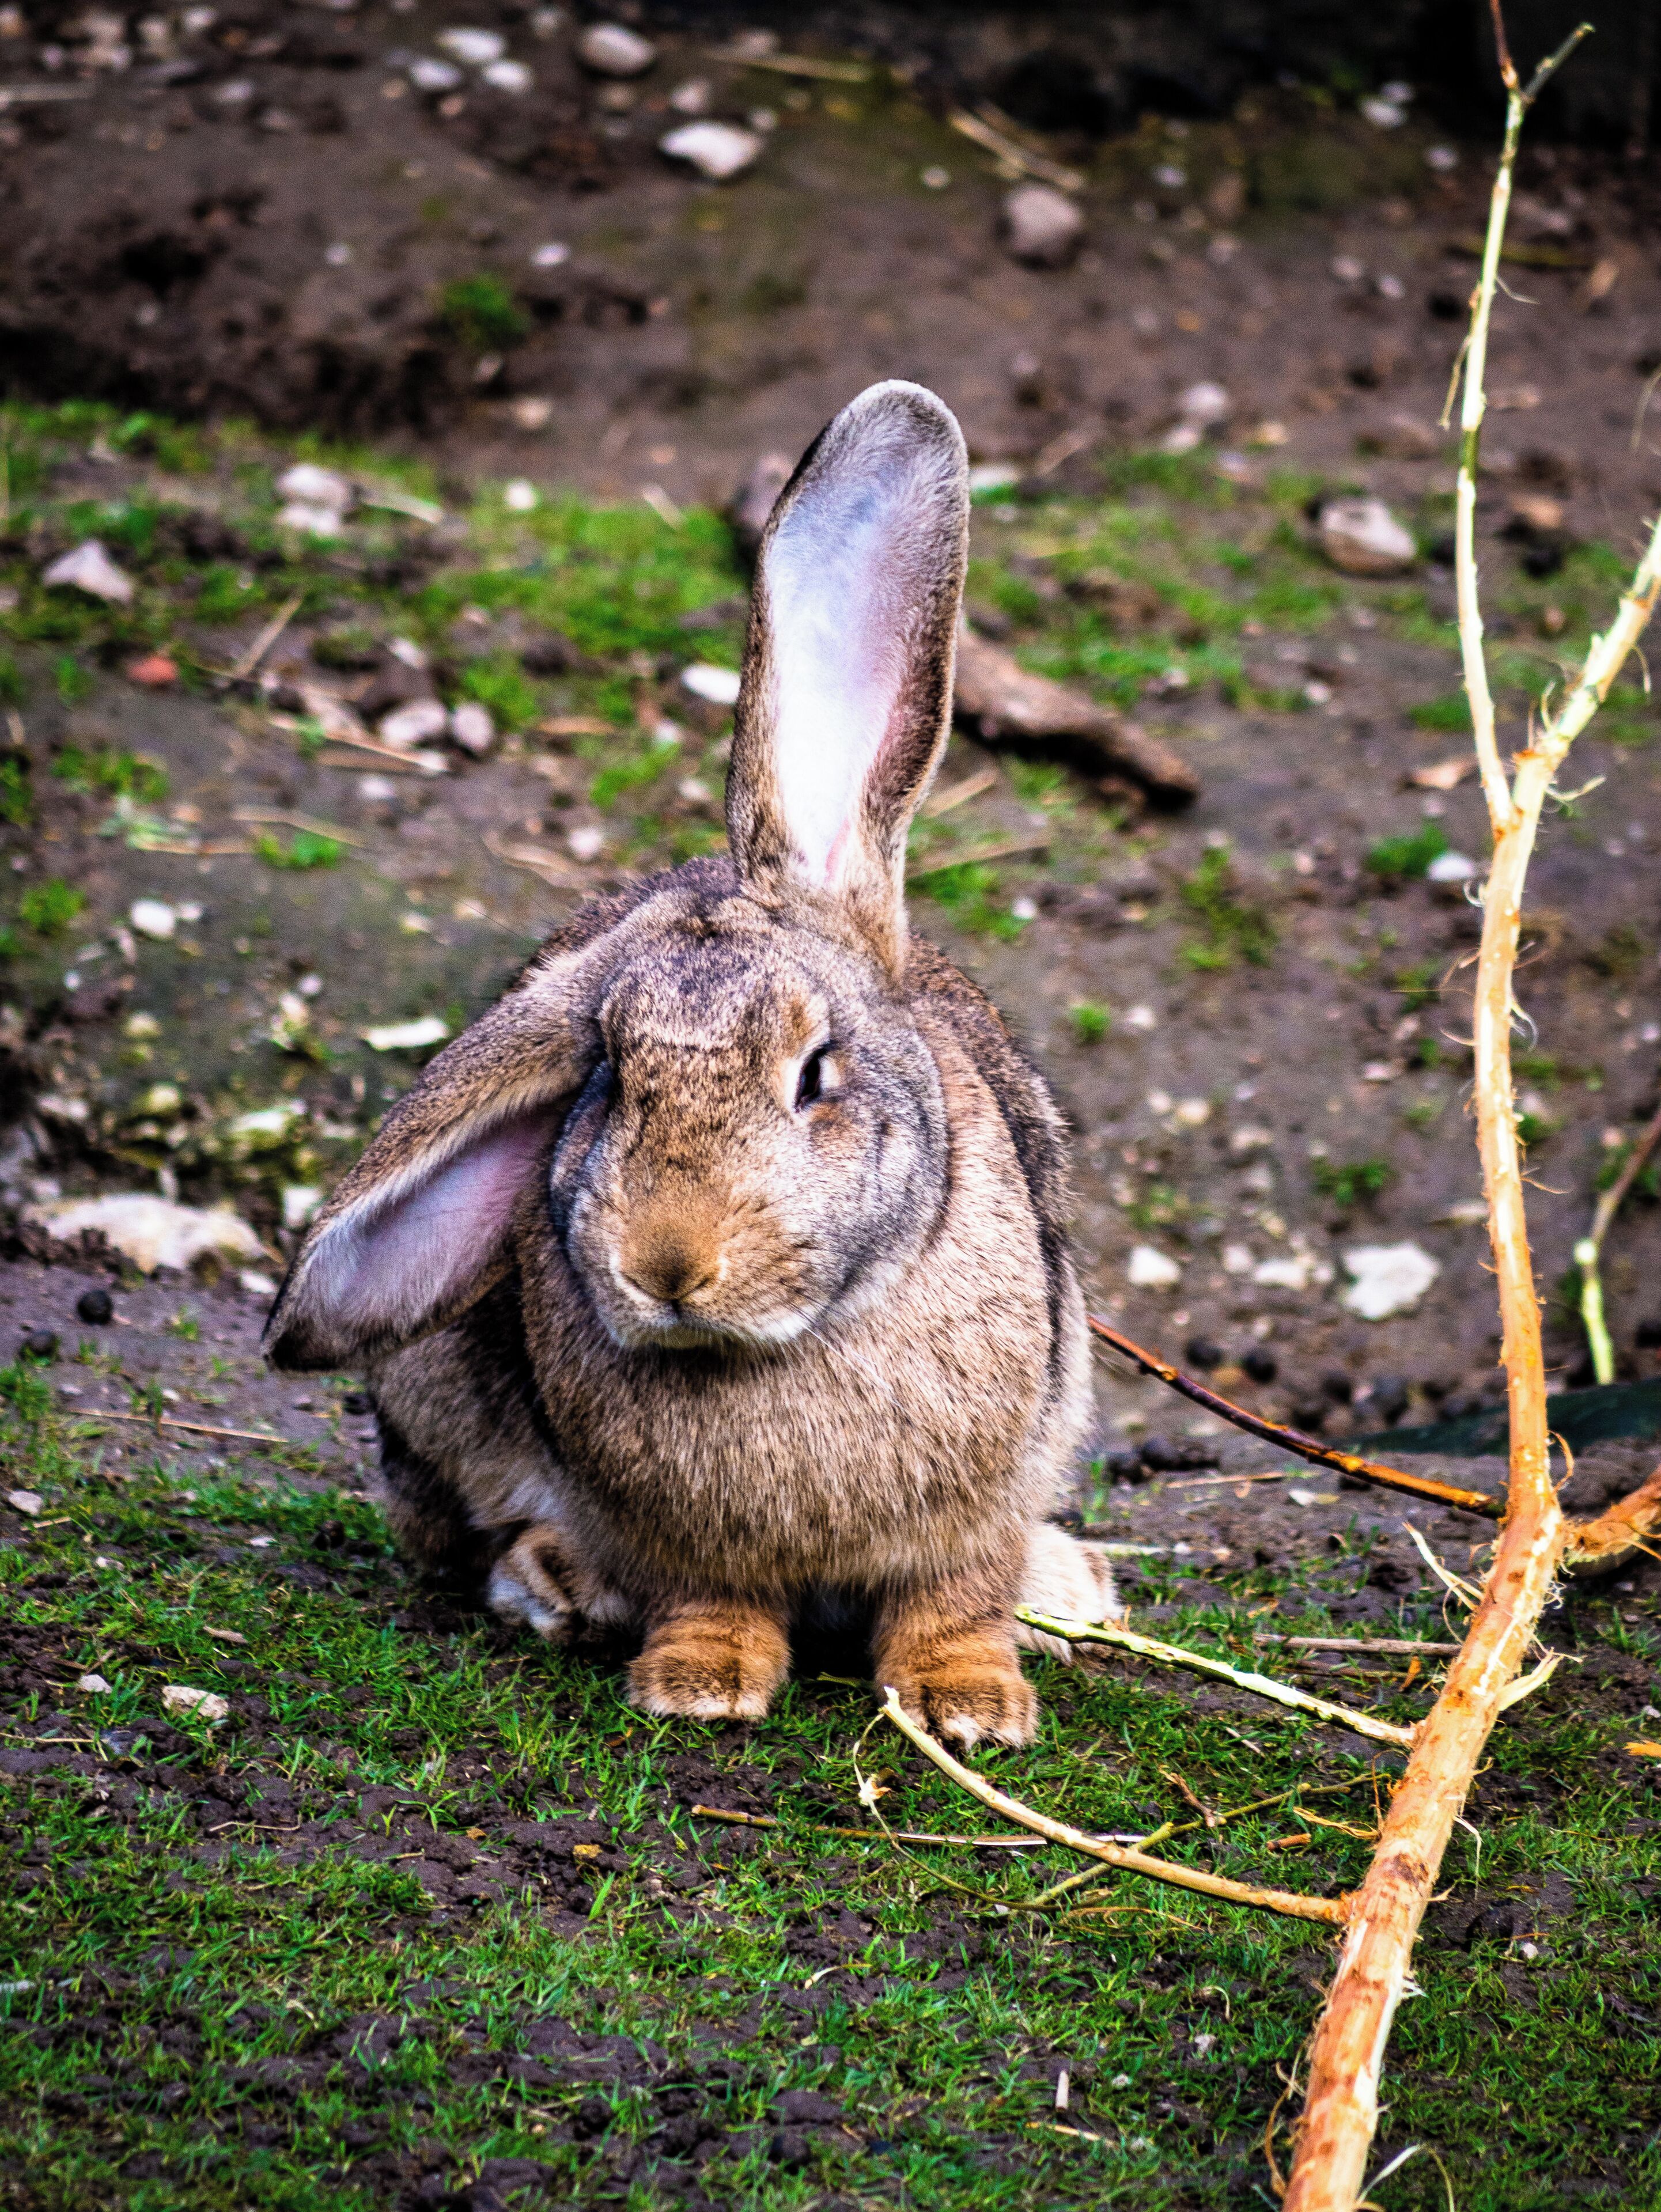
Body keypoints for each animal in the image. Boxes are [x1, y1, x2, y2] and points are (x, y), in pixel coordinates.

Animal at [263, 378, 1118, 1747]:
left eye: (815, 1072)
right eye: (608, 1076)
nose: (667, 1263)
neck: (786, 1342)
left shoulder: (993, 1483)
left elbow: (952, 1598)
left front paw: (970, 1707)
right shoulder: (684, 1538)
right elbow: (708, 1596)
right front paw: (699, 1684)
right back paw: (558, 1583)